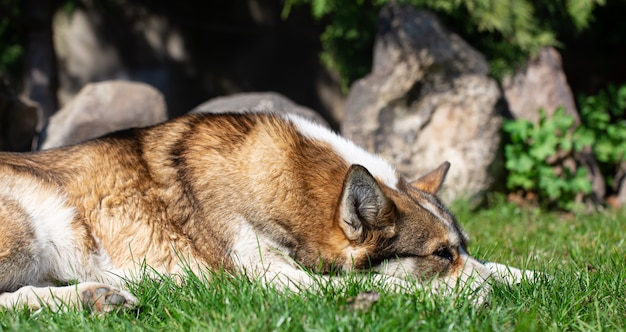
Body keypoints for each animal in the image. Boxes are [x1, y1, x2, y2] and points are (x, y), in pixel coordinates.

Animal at [0, 113, 532, 312]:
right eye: (441, 255)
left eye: (460, 248)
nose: (496, 296)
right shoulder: (268, 280)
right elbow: (386, 284)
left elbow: (503, 267)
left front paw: (527, 278)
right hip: (33, 227)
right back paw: (88, 299)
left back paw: (96, 297)